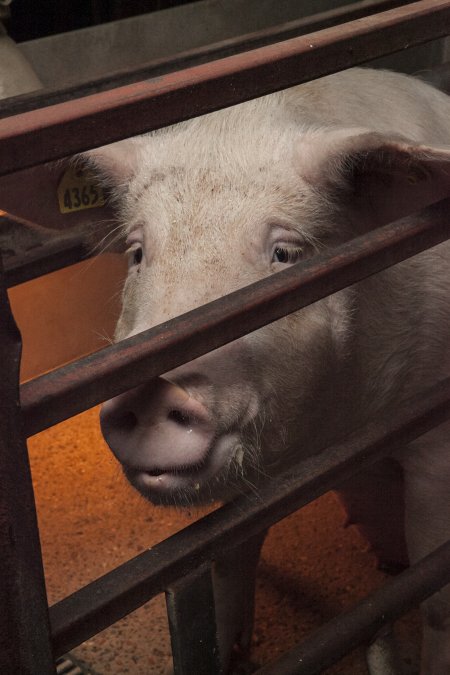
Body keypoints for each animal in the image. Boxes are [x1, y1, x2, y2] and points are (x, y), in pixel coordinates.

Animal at [88, 70, 450, 675]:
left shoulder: (436, 440)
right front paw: (234, 652)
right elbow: (231, 554)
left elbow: (435, 598)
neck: (345, 428)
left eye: (285, 254)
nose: (149, 391)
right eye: (139, 253)